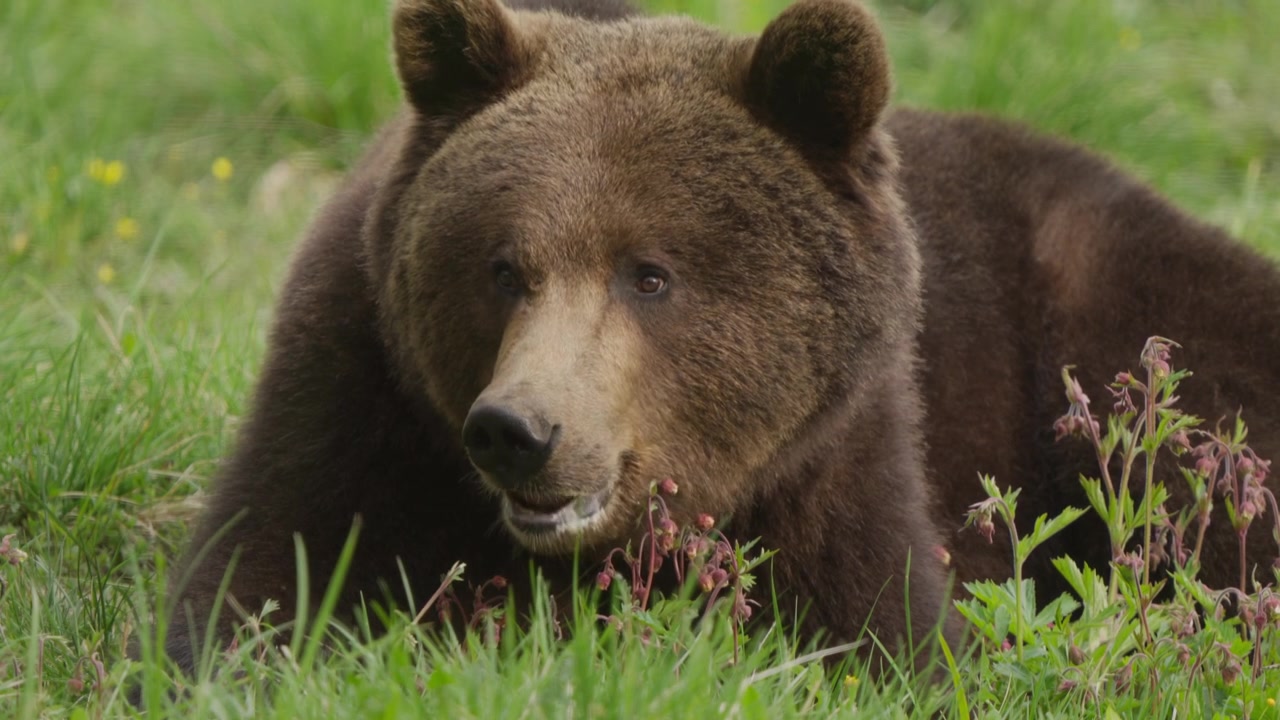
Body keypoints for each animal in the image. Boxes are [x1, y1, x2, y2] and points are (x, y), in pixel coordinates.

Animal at [160, 0, 1280, 680]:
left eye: (649, 273)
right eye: (501, 266)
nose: (518, 430)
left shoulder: (831, 449)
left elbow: (880, 636)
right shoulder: (361, 394)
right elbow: (259, 582)